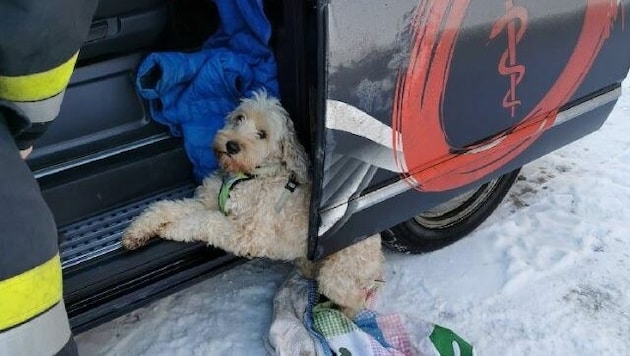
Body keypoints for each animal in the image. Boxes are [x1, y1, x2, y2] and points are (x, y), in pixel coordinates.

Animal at [121, 90, 382, 316]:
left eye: (262, 134)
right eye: (239, 118)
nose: (231, 145)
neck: (247, 176)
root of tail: (377, 245)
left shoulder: (249, 234)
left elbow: (206, 221)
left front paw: (173, 229)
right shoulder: (208, 201)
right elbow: (167, 207)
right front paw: (138, 231)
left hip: (336, 275)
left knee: (358, 299)